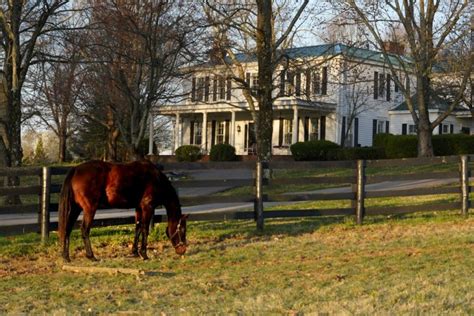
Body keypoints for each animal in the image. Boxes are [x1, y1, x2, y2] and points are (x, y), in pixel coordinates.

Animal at [57, 160, 187, 262]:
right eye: (182, 230)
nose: (183, 250)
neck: (156, 179)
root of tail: (76, 169)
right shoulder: (147, 207)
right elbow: (145, 229)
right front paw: (144, 254)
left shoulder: (138, 208)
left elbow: (137, 228)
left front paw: (135, 252)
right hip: (89, 209)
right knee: (84, 229)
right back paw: (91, 256)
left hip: (76, 208)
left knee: (67, 228)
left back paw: (66, 256)